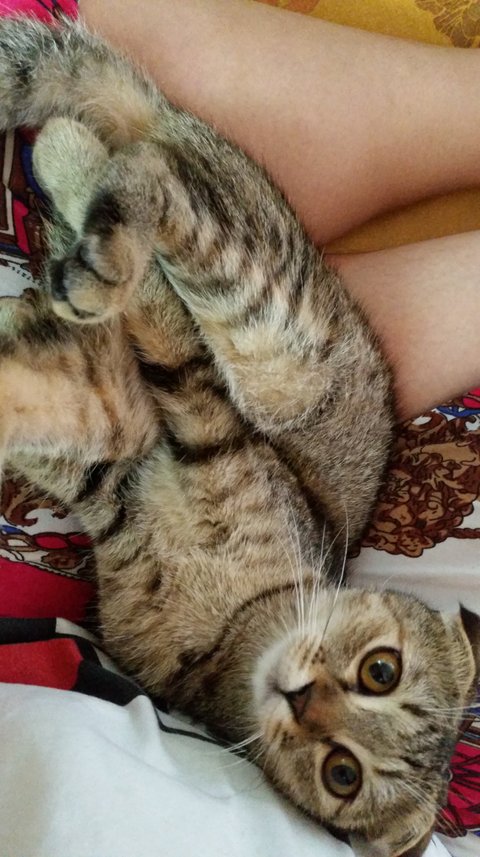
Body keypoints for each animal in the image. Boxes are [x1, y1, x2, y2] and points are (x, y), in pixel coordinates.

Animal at [0, 17, 478, 857]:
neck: (240, 627)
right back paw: (85, 193)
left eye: (341, 774)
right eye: (381, 670)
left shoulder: (115, 446)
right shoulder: (193, 415)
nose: (302, 698)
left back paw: (67, 166)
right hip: (278, 351)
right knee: (154, 178)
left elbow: (49, 403)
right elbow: (164, 333)